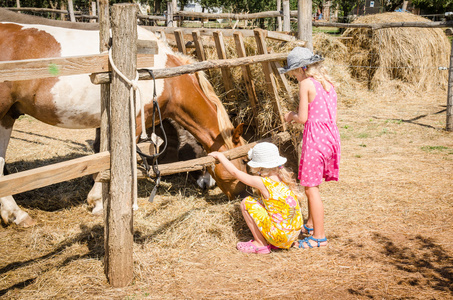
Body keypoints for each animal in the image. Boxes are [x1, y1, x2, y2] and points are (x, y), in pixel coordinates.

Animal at [0, 8, 245, 226]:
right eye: (242, 160)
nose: (209, 184)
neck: (164, 78)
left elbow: (103, 150)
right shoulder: (132, 124)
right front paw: (99, 201)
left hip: (7, 117)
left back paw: (15, 214)